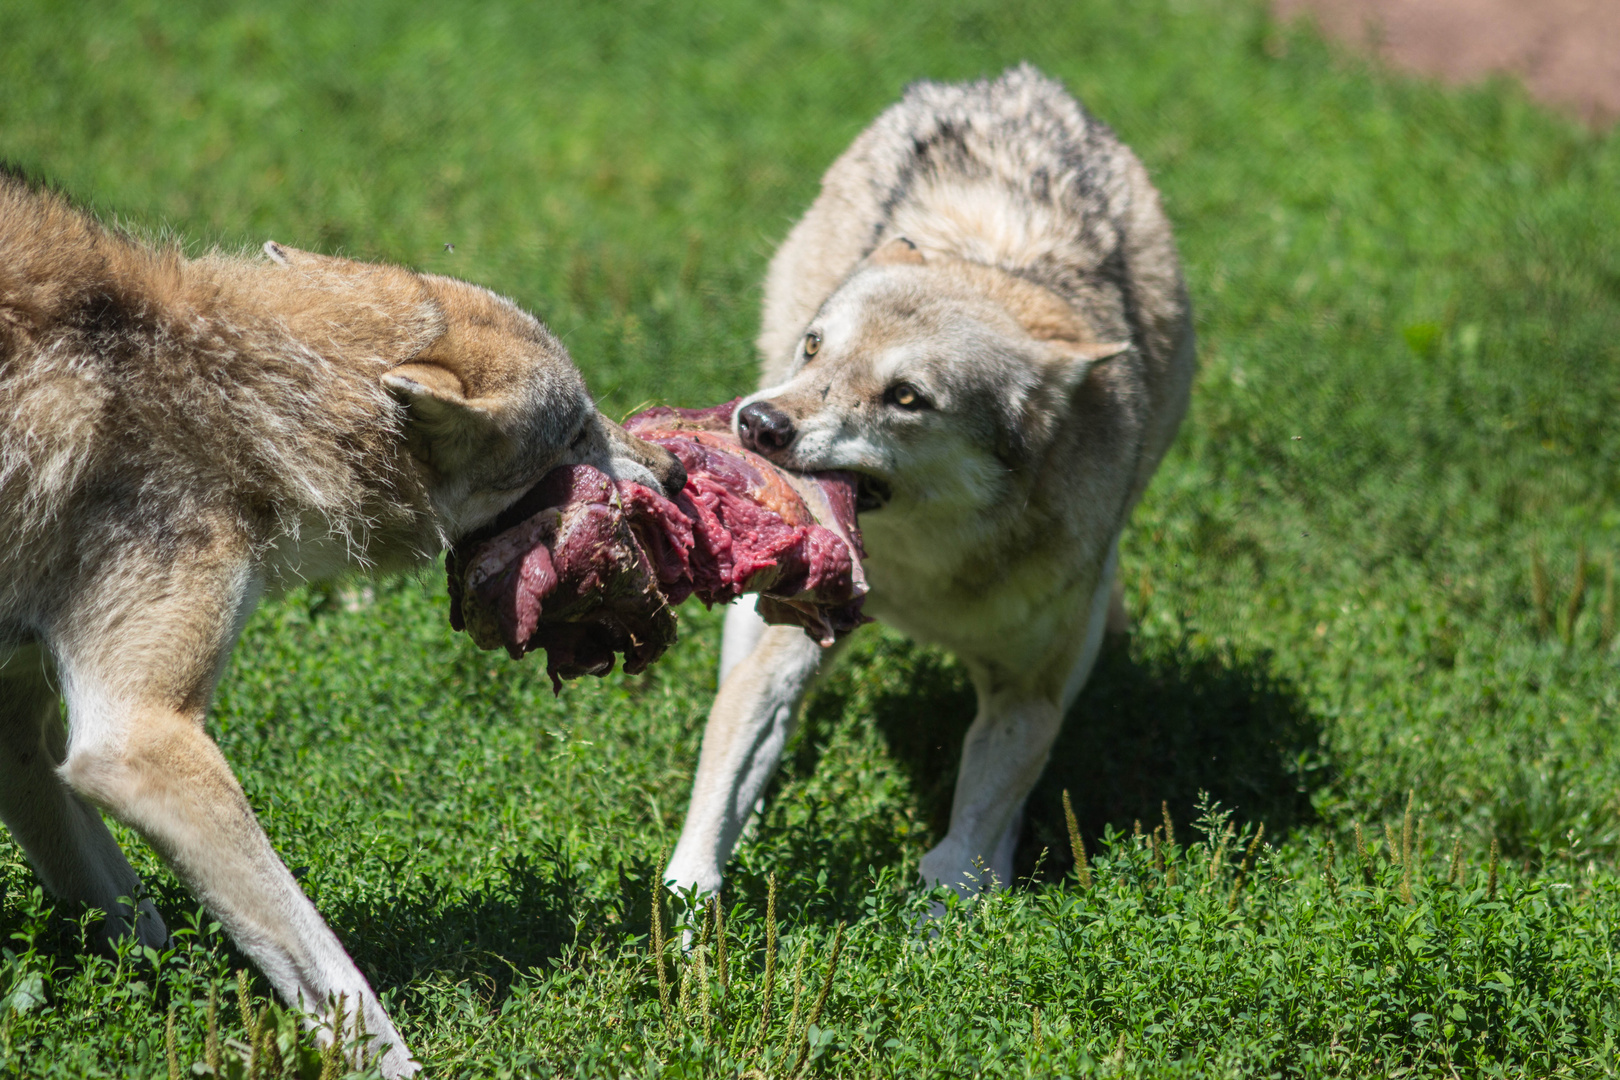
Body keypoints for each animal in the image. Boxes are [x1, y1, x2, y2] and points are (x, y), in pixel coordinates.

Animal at [0, 169, 683, 1075]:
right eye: (576, 431)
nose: (677, 473)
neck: (242, 398)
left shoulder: (24, 736)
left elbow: (139, 925)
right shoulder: (139, 743)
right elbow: (339, 982)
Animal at [664, 65, 1198, 906]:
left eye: (906, 397)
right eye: (815, 348)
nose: (760, 425)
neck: (923, 578)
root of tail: (1019, 80)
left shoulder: (1030, 694)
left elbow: (959, 858)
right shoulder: (790, 645)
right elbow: (712, 813)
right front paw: (692, 921)